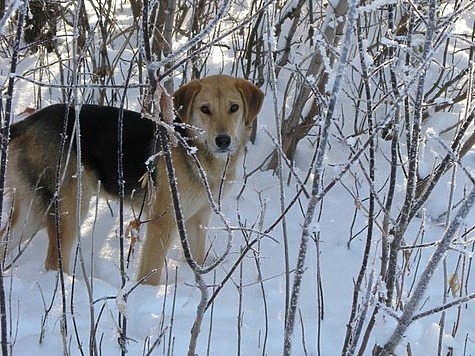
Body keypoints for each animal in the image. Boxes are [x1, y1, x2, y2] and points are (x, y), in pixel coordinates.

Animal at [0, 76, 264, 286]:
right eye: (205, 109)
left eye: (234, 108)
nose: (223, 140)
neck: (193, 149)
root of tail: (25, 123)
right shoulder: (163, 223)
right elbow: (151, 273)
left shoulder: (198, 219)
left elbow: (197, 258)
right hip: (70, 207)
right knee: (54, 262)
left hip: (32, 212)